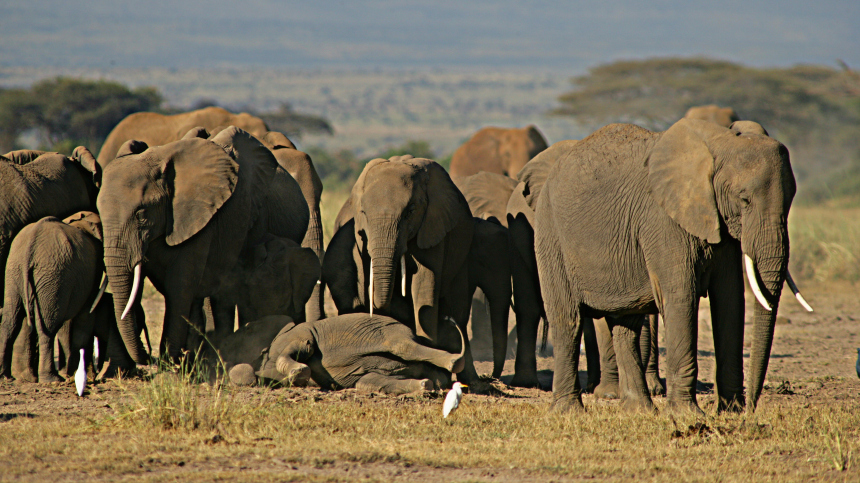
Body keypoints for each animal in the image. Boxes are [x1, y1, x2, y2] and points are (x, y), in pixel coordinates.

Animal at [95, 126, 310, 364]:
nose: (148, 357)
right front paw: (179, 359)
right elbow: (143, 282)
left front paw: (171, 361)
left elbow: (180, 285)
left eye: (142, 214)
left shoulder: (199, 219)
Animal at [218, 314, 466, 398]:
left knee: (402, 345)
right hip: (371, 375)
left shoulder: (299, 333)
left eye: (246, 330)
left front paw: (300, 372)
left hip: (392, 329)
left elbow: (304, 346)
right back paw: (425, 385)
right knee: (372, 381)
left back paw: (454, 362)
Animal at [536, 119, 808, 414]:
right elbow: (681, 297)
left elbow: (729, 299)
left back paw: (639, 410)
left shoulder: (718, 223)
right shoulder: (662, 220)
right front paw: (686, 413)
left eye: (792, 199)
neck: (718, 143)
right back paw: (568, 411)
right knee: (568, 320)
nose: (751, 408)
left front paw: (730, 412)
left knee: (626, 324)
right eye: (744, 199)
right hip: (550, 233)